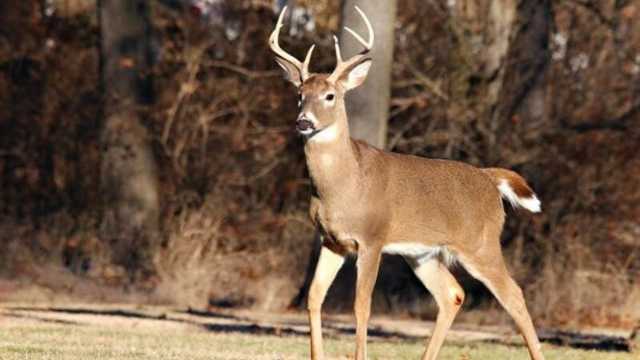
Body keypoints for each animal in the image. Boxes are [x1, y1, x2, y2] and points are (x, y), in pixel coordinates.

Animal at [268, 6, 544, 360]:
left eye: (330, 95)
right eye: (300, 96)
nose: (304, 122)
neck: (342, 187)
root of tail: (489, 178)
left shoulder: (372, 239)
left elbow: (362, 306)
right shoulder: (332, 241)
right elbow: (314, 298)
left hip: (480, 243)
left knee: (514, 294)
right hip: (423, 254)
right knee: (453, 293)